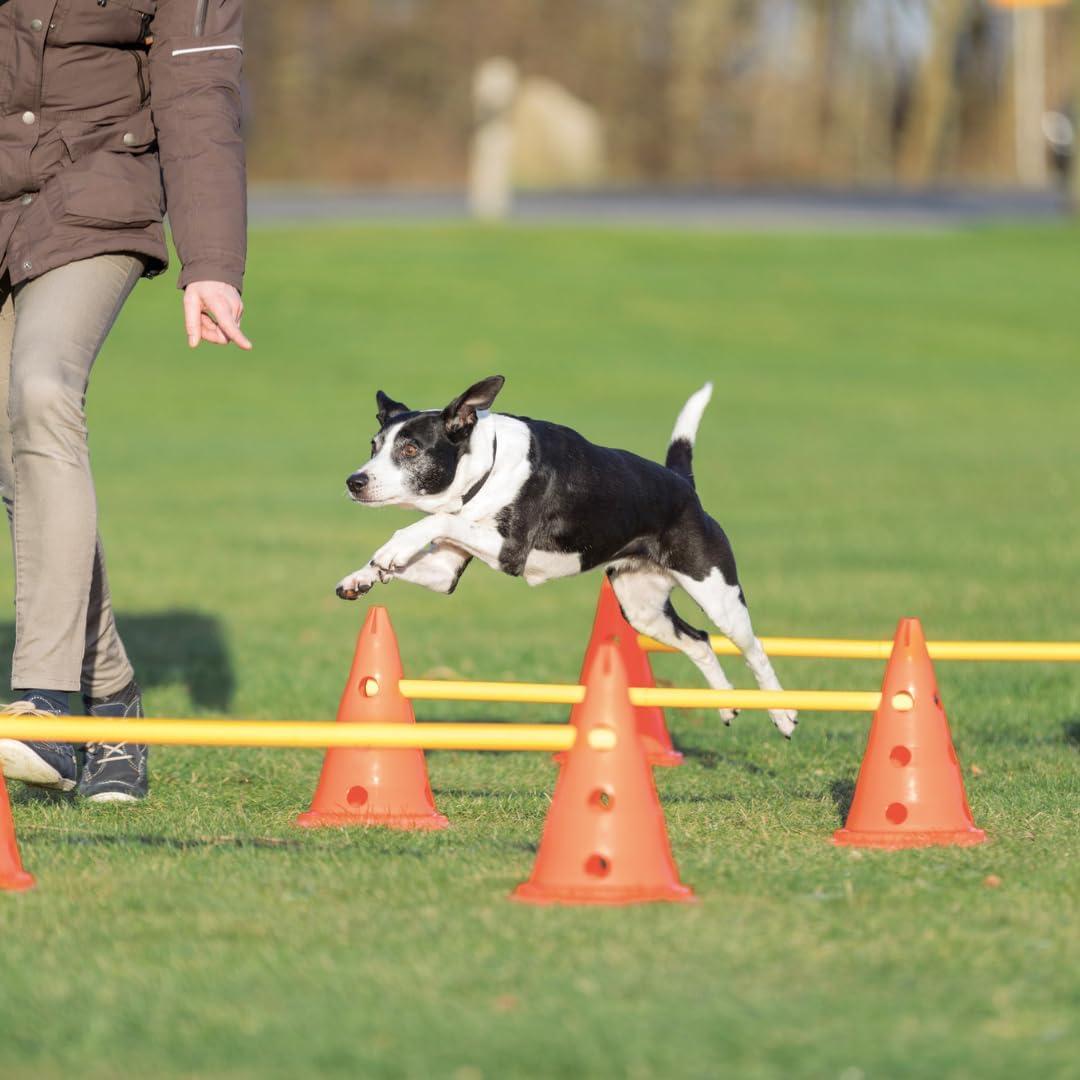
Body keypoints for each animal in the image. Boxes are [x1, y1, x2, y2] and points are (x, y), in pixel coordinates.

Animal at [332, 375, 799, 738]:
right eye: (374, 445)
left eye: (410, 449)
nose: (355, 481)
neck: (486, 464)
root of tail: (682, 483)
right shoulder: (445, 569)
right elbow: (429, 541)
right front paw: (363, 576)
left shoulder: (509, 549)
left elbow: (436, 521)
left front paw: (393, 548)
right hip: (642, 608)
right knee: (699, 640)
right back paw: (727, 704)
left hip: (717, 592)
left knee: (752, 648)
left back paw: (784, 714)